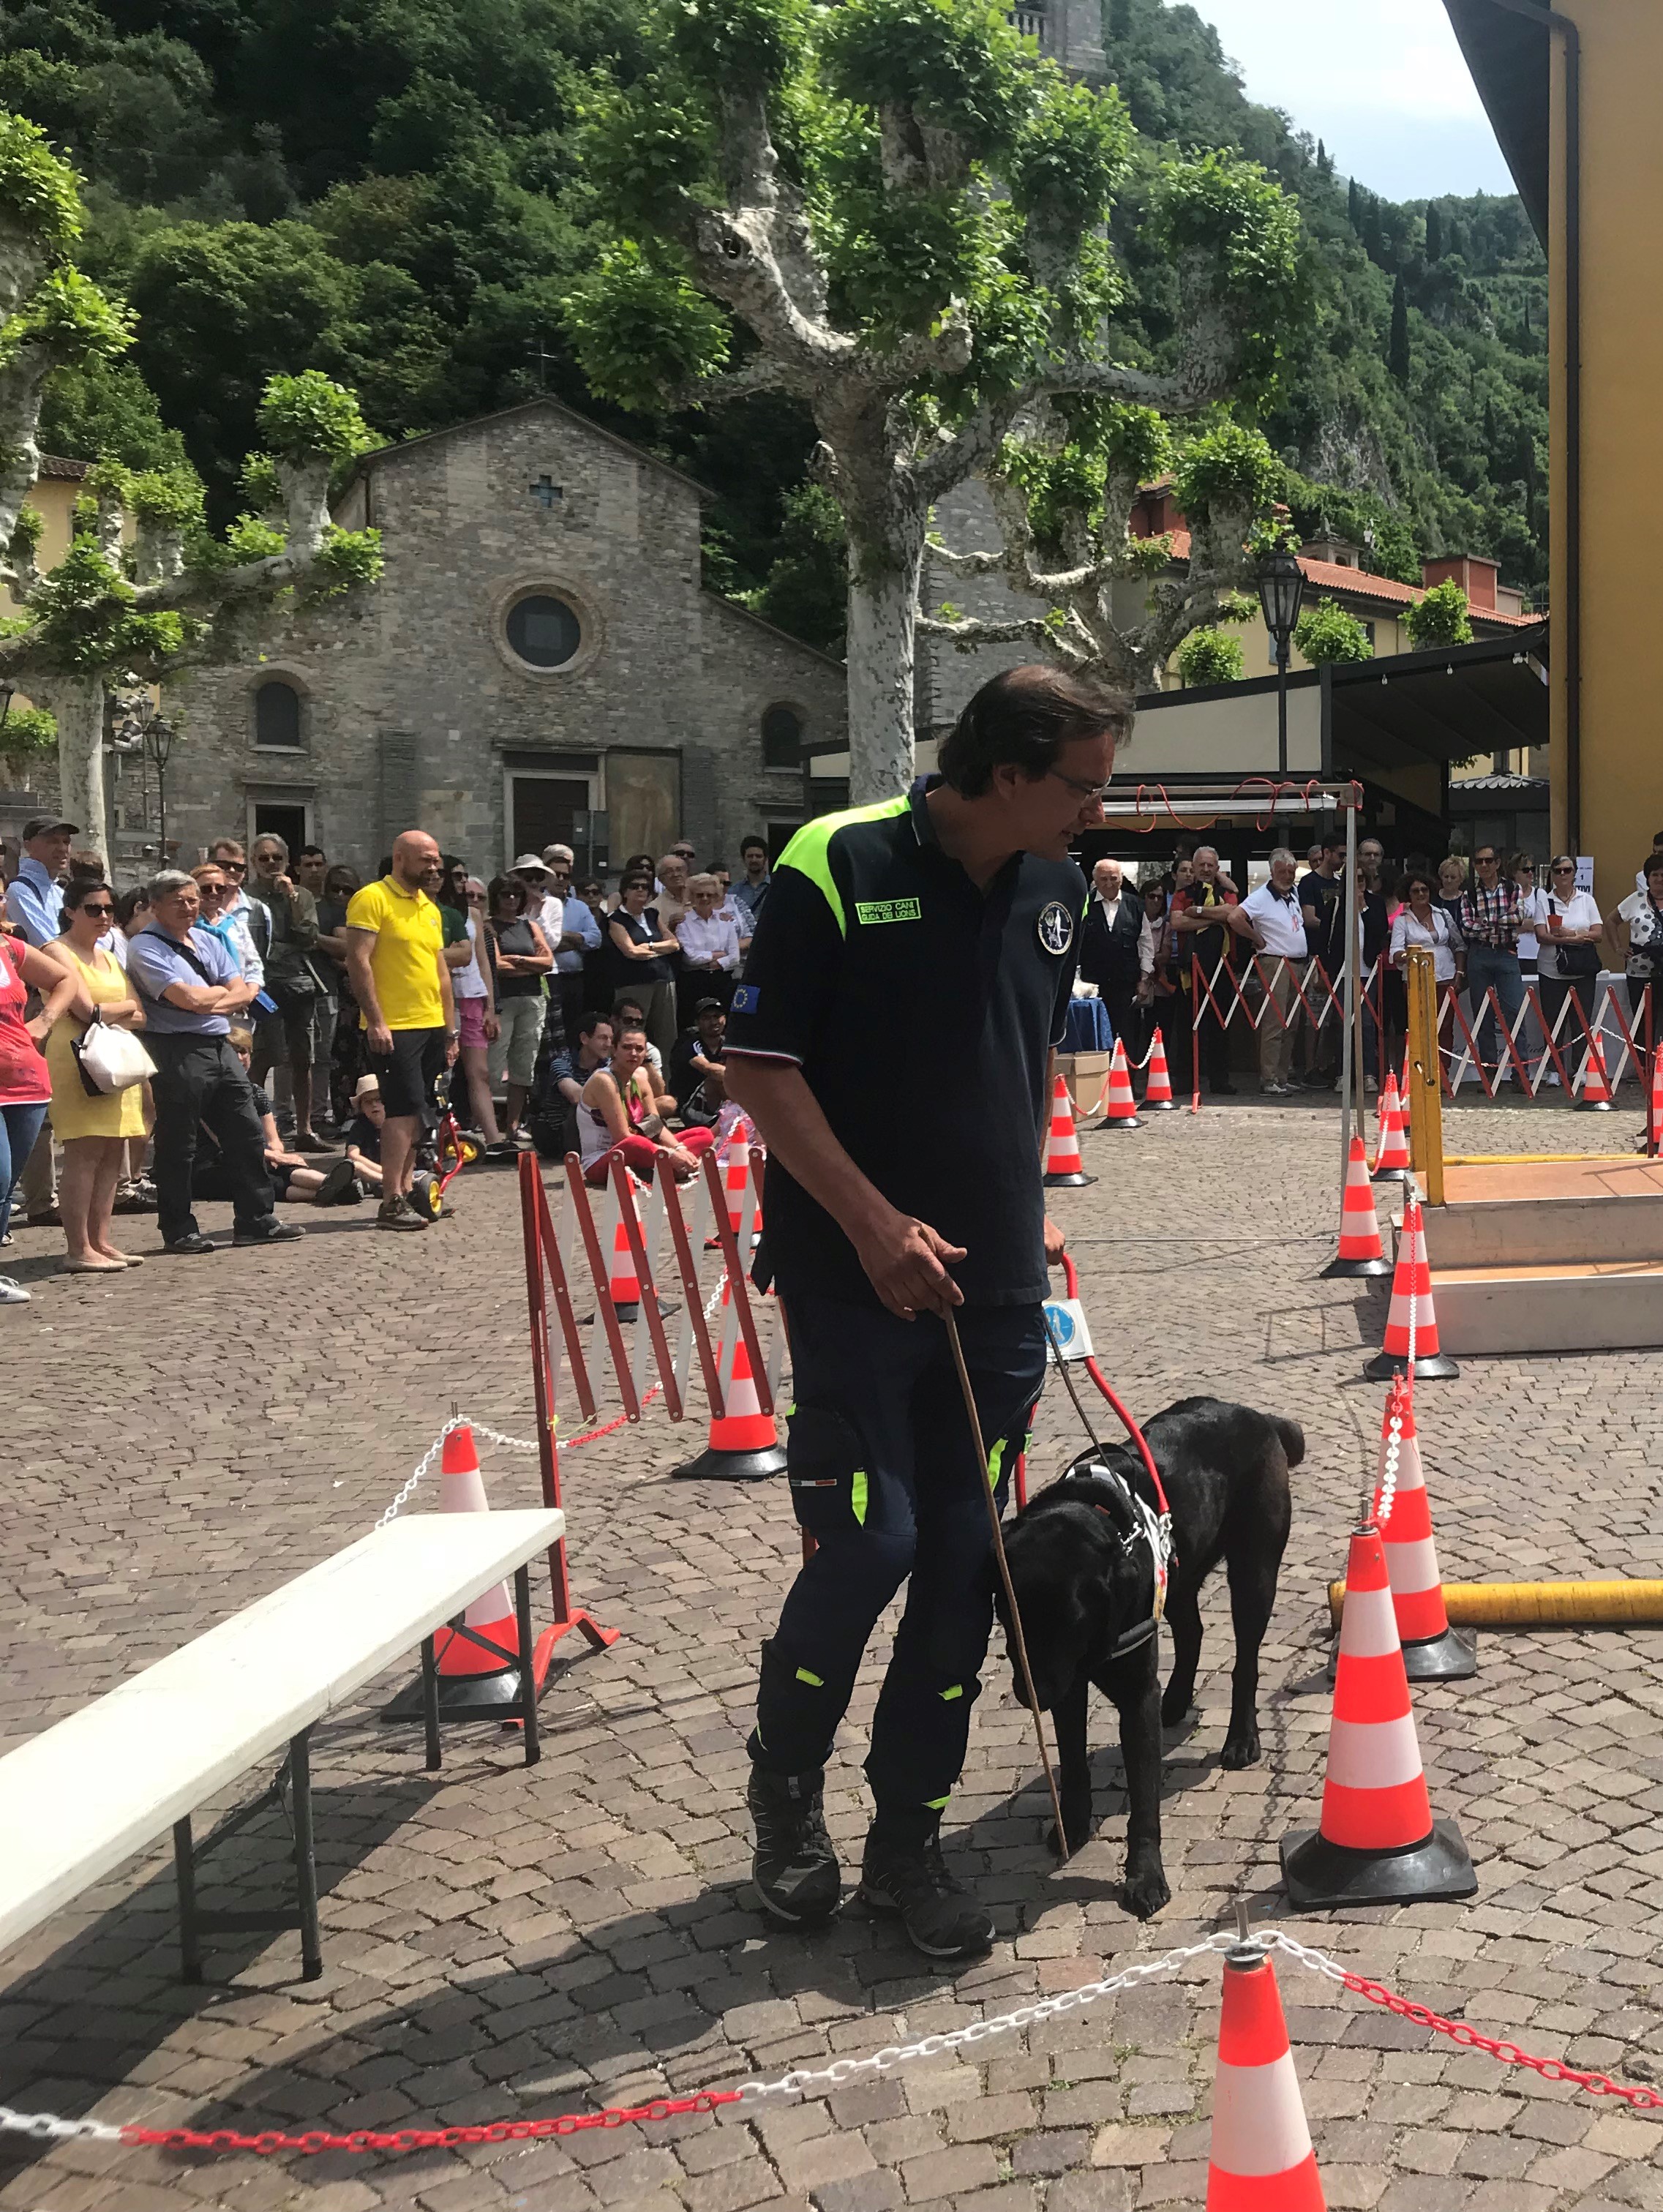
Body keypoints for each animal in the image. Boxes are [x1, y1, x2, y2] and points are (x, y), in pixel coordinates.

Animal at [995, 1398, 1291, 1919]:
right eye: (1012, 1613)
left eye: (1071, 1619)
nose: (1034, 1694)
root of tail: (1259, 1416)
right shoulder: (1070, 1691)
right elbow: (1073, 1767)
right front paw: (1075, 1826)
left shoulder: (1133, 1698)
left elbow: (1144, 1802)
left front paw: (1145, 1877)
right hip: (1180, 1574)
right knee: (1192, 1631)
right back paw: (1174, 1702)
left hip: (1253, 1572)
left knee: (1245, 1664)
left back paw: (1241, 1738)